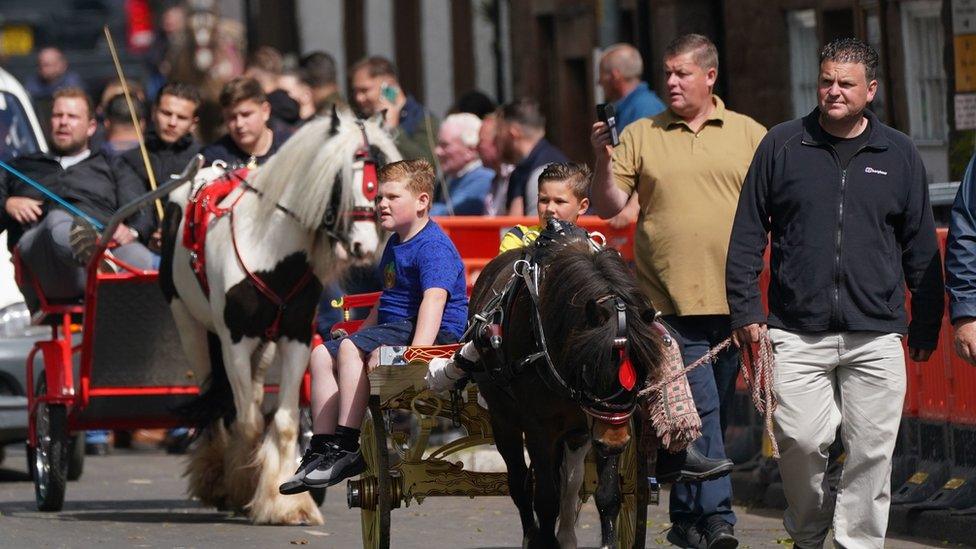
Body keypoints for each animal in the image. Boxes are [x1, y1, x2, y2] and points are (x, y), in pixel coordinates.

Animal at [162, 110, 398, 524]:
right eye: (340, 179)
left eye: (383, 179)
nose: (365, 246)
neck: (268, 250)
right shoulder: (235, 342)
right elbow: (248, 421)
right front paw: (242, 488)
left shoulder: (295, 337)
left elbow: (285, 422)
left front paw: (284, 501)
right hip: (192, 328)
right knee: (218, 408)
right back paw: (216, 478)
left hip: (264, 346)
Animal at [468, 230, 668, 548]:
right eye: (590, 368)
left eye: (643, 369)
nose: (614, 443)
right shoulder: (539, 428)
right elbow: (545, 498)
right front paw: (543, 539)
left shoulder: (605, 423)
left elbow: (606, 494)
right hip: (504, 420)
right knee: (520, 484)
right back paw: (532, 534)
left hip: (578, 432)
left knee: (569, 481)